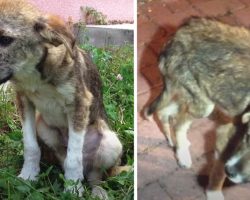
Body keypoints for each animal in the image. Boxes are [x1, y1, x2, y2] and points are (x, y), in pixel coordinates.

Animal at [0, 0, 122, 198]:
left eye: (5, 40)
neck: (35, 74)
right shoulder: (23, 100)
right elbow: (30, 145)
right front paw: (28, 176)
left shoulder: (79, 104)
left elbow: (74, 157)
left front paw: (72, 189)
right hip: (43, 126)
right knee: (66, 162)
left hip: (111, 143)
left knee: (94, 175)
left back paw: (98, 191)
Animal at [145, 17, 250, 200]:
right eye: (249, 137)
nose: (230, 171)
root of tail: (175, 37)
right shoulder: (226, 137)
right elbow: (217, 174)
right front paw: (214, 193)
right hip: (203, 103)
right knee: (178, 122)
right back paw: (182, 154)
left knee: (165, 112)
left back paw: (174, 141)